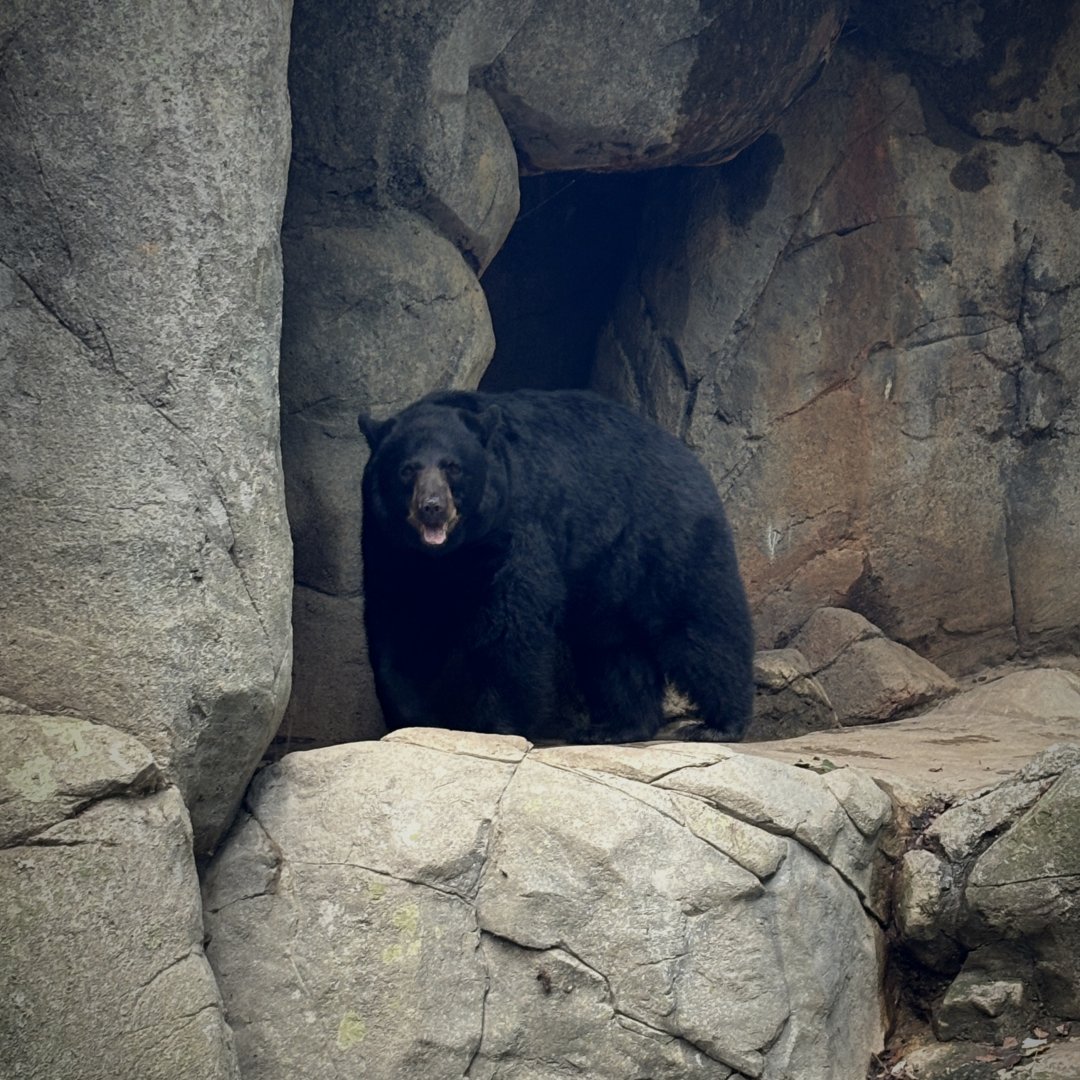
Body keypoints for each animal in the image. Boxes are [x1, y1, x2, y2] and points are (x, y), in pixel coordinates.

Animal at [358, 388, 754, 743]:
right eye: (407, 470)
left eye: (453, 467)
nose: (432, 507)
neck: (452, 554)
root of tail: (687, 455)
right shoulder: (390, 548)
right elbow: (402, 625)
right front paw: (413, 719)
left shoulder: (514, 528)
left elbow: (512, 625)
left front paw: (497, 724)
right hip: (606, 571)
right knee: (613, 646)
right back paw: (618, 726)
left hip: (663, 534)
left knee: (698, 621)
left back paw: (719, 723)